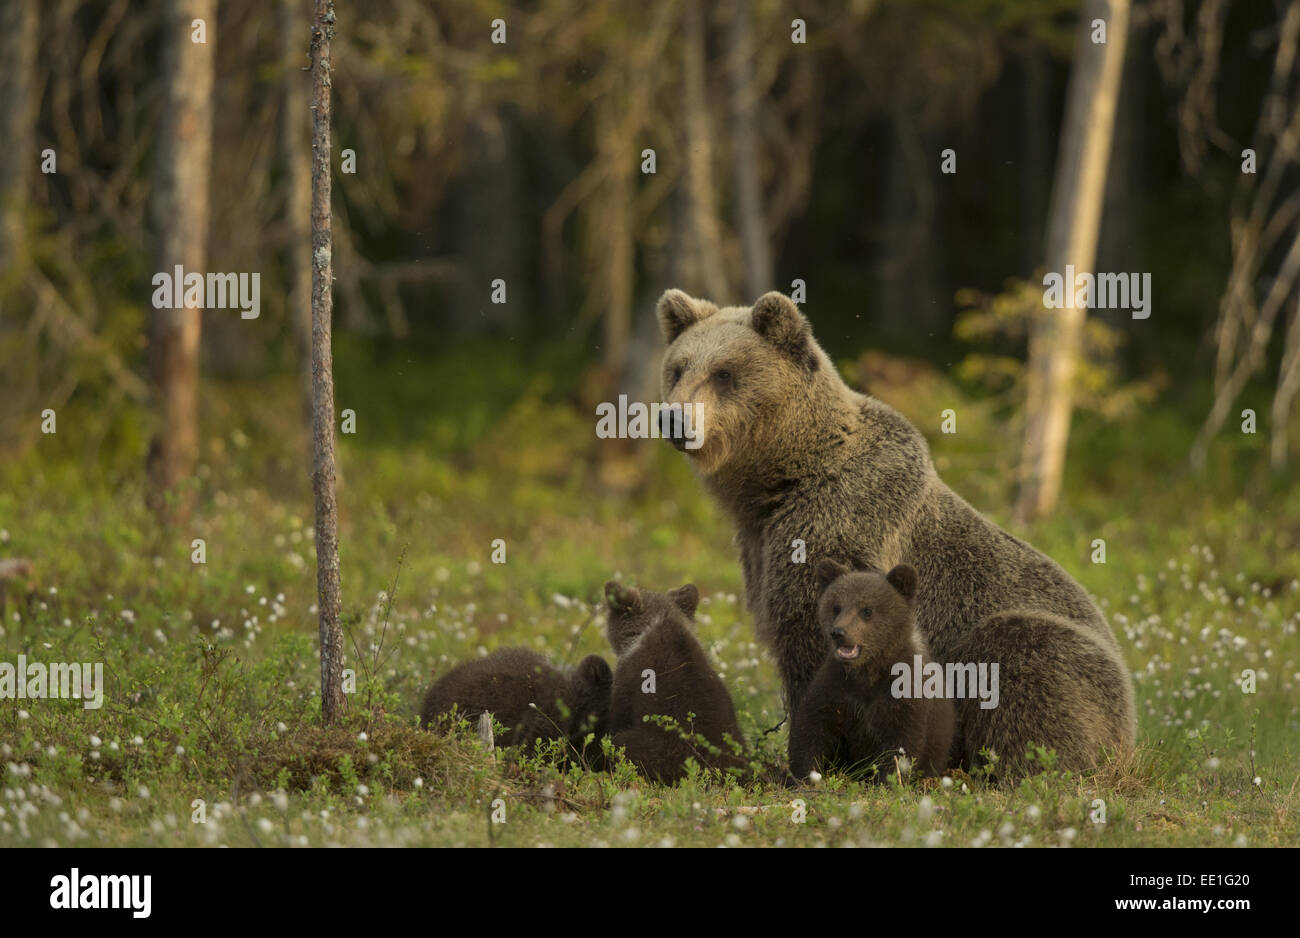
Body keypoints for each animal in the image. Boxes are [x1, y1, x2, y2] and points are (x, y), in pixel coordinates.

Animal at [787, 559, 955, 781]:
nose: (838, 632)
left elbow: (901, 745)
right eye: (836, 607)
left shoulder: (904, 695)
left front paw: (888, 779)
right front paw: (803, 775)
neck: (867, 672)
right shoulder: (835, 689)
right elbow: (812, 727)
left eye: (867, 610)